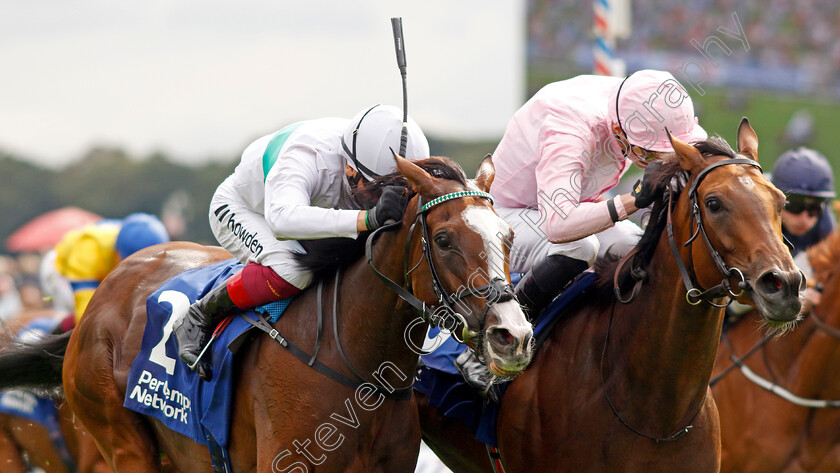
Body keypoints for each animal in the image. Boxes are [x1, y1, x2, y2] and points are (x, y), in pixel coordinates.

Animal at [0, 155, 532, 472]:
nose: (512, 335)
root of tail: (100, 300)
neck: (353, 365)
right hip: (122, 443)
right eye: (443, 239)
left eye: (507, 236)